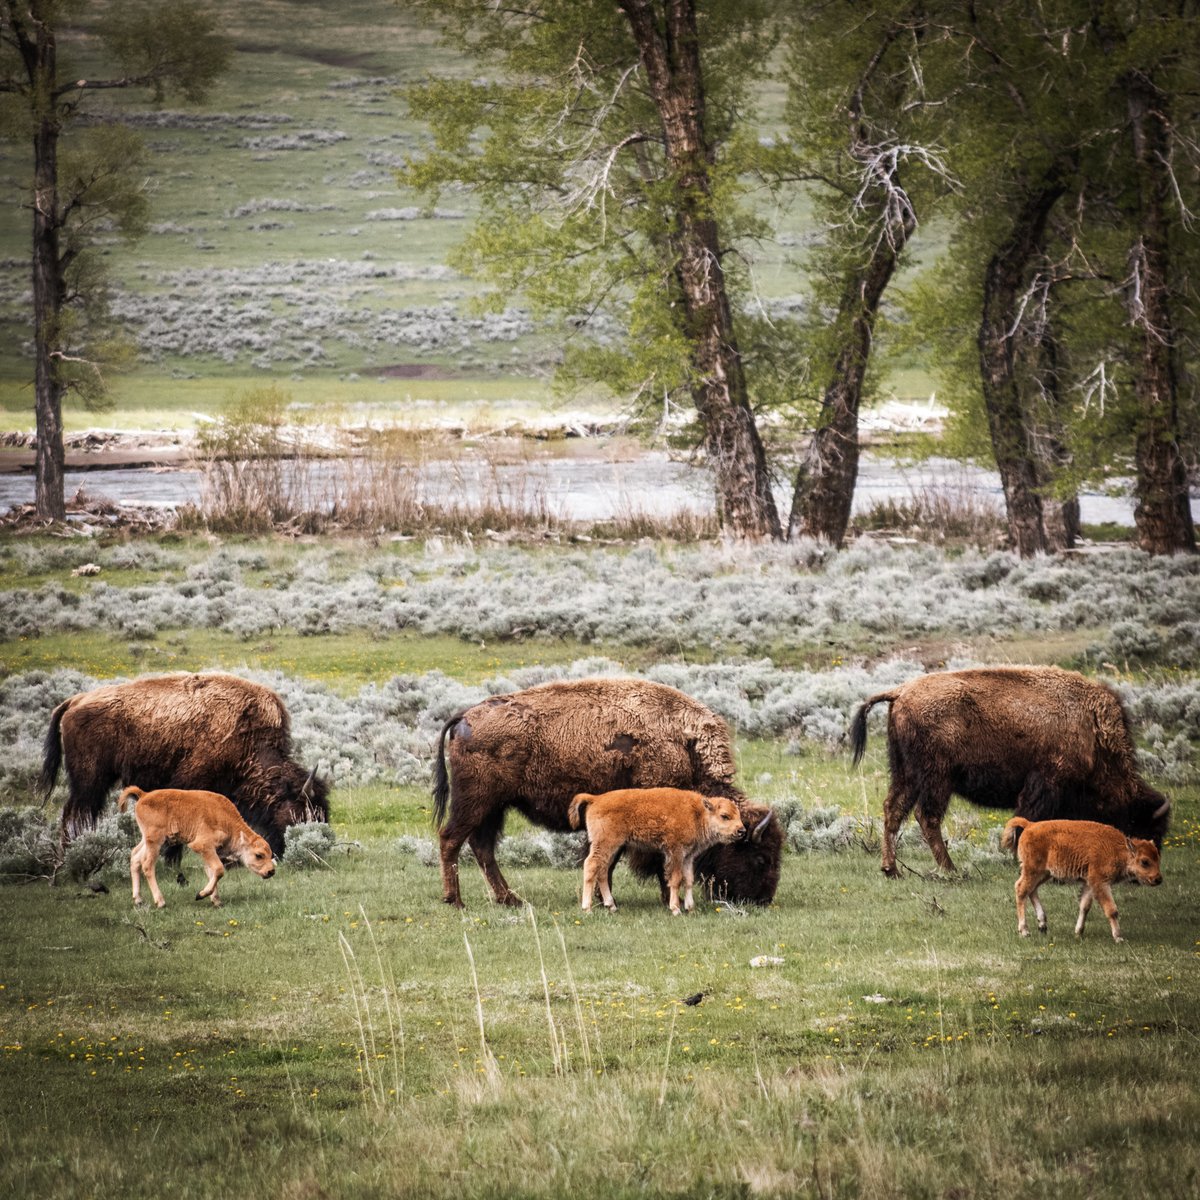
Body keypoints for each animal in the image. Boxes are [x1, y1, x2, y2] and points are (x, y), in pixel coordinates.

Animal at [40, 672, 328, 858]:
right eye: (305, 810)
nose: (313, 840)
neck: (248, 737)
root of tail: (75, 700)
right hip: (88, 780)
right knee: (75, 814)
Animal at [432, 677, 782, 908]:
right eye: (760, 857)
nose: (762, 899)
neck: (685, 745)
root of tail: (464, 716)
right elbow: (645, 860)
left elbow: (608, 860)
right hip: (476, 802)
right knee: (451, 839)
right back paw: (455, 900)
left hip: (494, 807)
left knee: (482, 847)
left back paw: (510, 899)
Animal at [850, 665, 1171, 877]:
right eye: (1144, 828)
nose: (1148, 874)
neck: (1092, 730)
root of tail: (899, 692)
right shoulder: (1045, 784)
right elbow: (1027, 822)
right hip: (936, 778)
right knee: (926, 817)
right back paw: (950, 869)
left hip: (906, 774)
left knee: (893, 810)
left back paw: (891, 869)